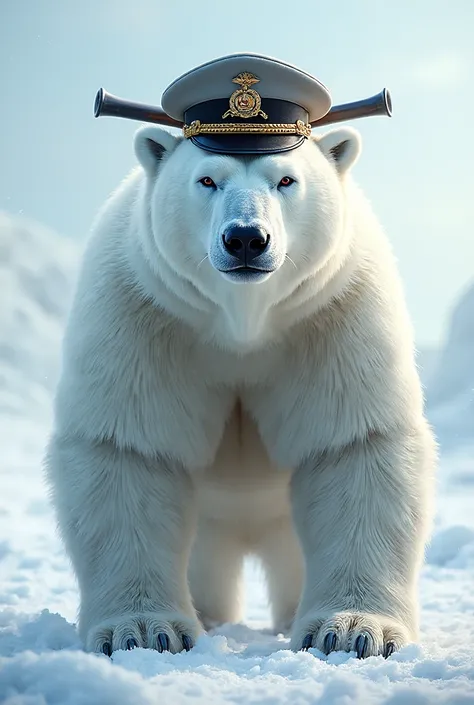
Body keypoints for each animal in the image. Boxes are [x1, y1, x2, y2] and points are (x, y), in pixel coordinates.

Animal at [45, 122, 437, 659]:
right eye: (208, 179)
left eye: (286, 179)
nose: (246, 238)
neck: (242, 320)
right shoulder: (145, 312)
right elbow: (131, 448)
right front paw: (145, 632)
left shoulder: (333, 311)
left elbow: (351, 444)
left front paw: (352, 632)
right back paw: (208, 614)